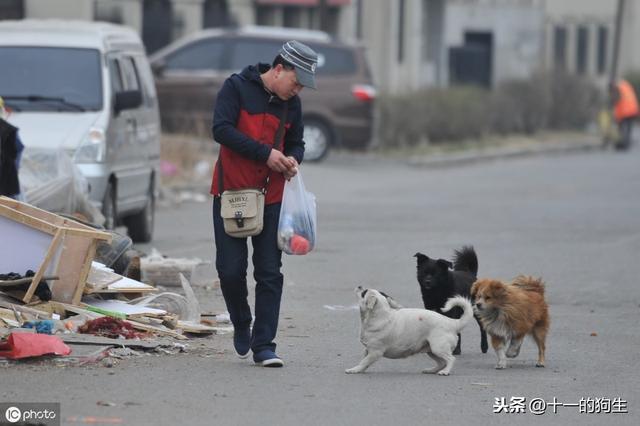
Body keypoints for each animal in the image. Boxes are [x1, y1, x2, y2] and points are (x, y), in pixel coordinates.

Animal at [344, 286, 476, 376]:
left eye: (364, 293)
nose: (360, 286)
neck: (379, 316)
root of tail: (452, 322)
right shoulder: (368, 350)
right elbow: (363, 361)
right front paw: (359, 369)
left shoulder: (375, 352)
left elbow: (364, 361)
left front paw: (354, 370)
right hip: (431, 350)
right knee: (441, 362)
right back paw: (431, 370)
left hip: (438, 347)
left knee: (450, 359)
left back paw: (445, 372)